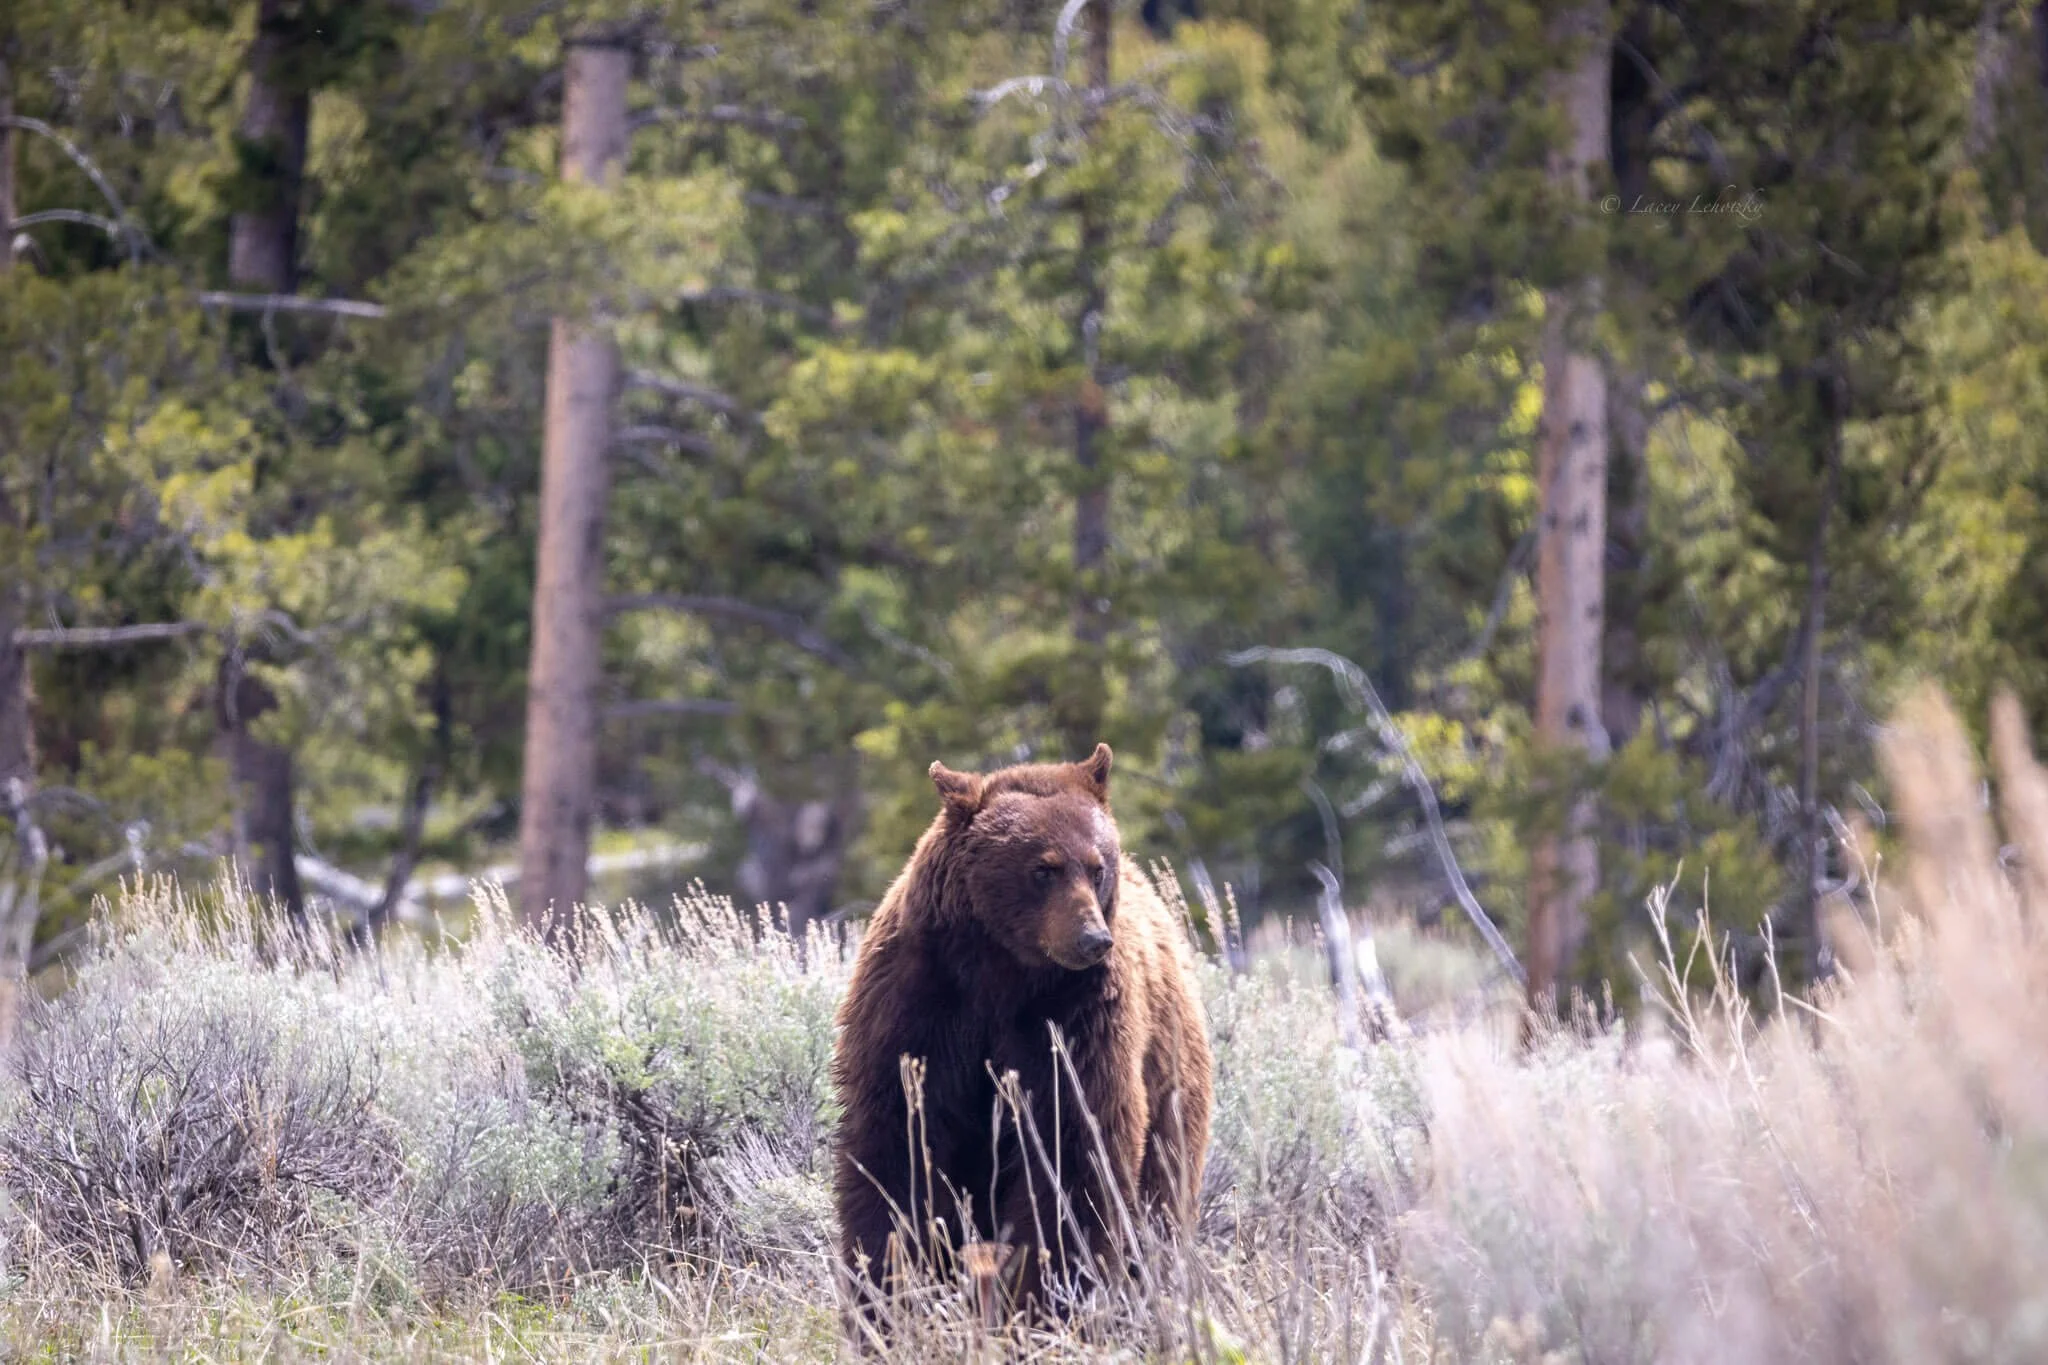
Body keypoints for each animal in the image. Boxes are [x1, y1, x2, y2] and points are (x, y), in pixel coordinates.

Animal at [831, 742, 1214, 1321]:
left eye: (1097, 868)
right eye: (1043, 869)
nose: (1092, 939)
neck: (1002, 970)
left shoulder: (1074, 1019)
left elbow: (1075, 1147)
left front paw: (1048, 1297)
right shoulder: (919, 1003)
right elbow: (898, 1141)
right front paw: (889, 1294)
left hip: (1171, 1087)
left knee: (1161, 1199)